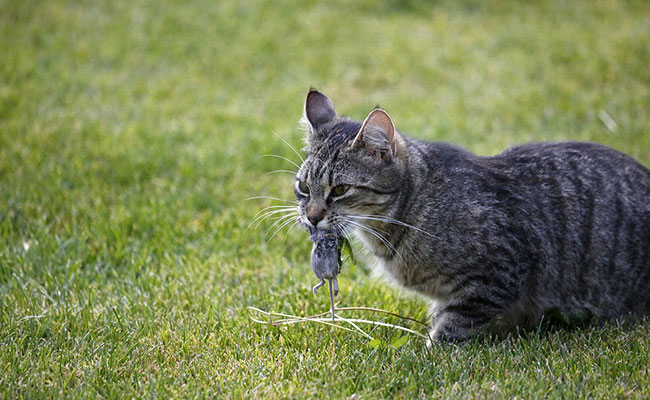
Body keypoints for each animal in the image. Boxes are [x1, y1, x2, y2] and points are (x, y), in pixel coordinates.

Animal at [294, 90, 648, 344]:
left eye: (340, 189)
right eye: (303, 187)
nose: (312, 218)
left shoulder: (499, 270)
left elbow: (456, 322)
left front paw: (432, 350)